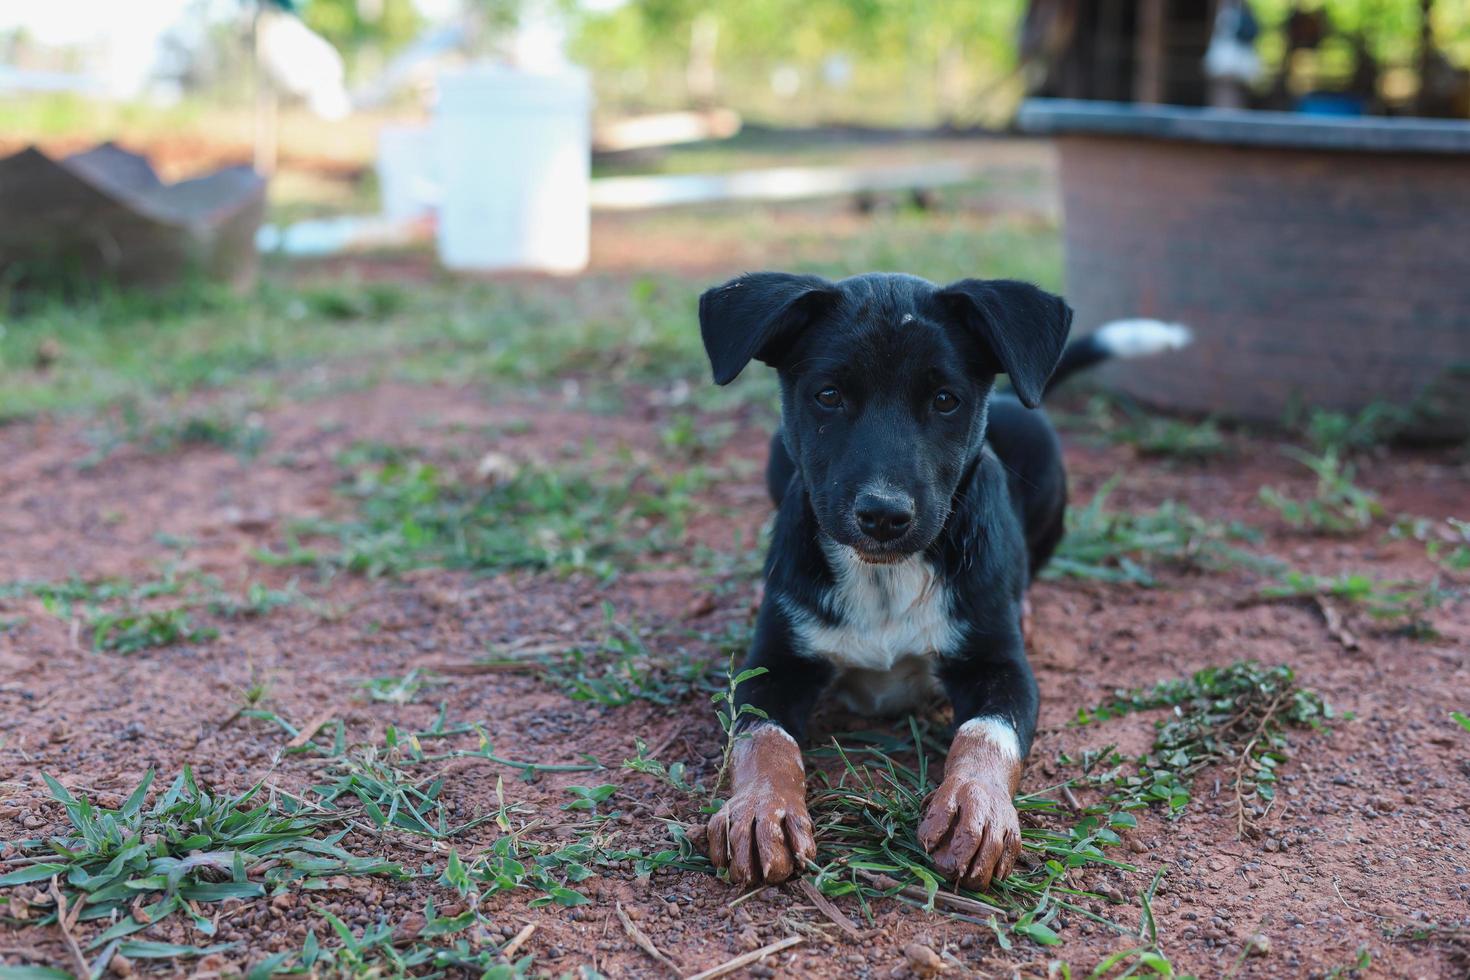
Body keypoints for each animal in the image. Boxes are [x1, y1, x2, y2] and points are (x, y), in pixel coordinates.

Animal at [693, 271, 1187, 893]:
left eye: (945, 400)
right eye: (828, 395)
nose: (883, 515)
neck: (884, 578)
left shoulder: (999, 663)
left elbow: (987, 732)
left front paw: (976, 807)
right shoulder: (773, 663)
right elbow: (761, 739)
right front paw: (762, 810)